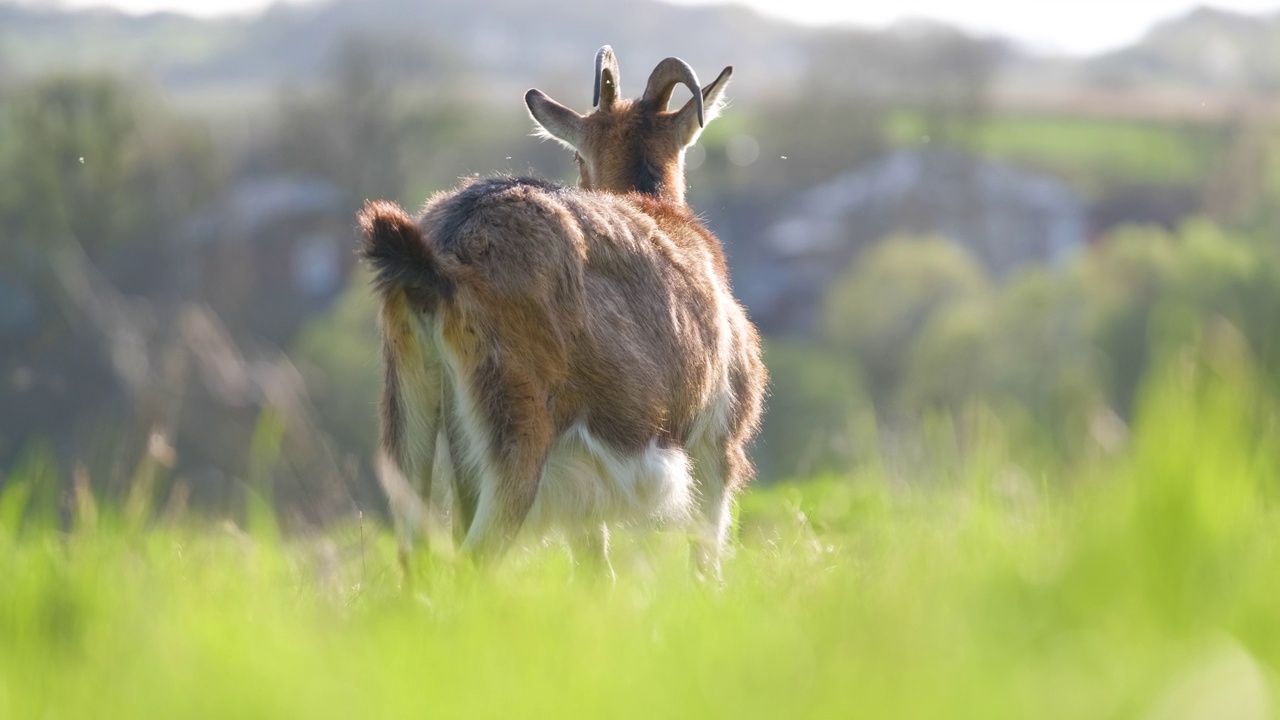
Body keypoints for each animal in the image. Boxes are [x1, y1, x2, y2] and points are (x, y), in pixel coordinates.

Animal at [355, 46, 762, 576]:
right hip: (516, 435)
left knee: (414, 557)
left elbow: (597, 570)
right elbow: (706, 558)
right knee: (470, 563)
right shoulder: (717, 441)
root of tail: (442, 252)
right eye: (577, 155)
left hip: (409, 416)